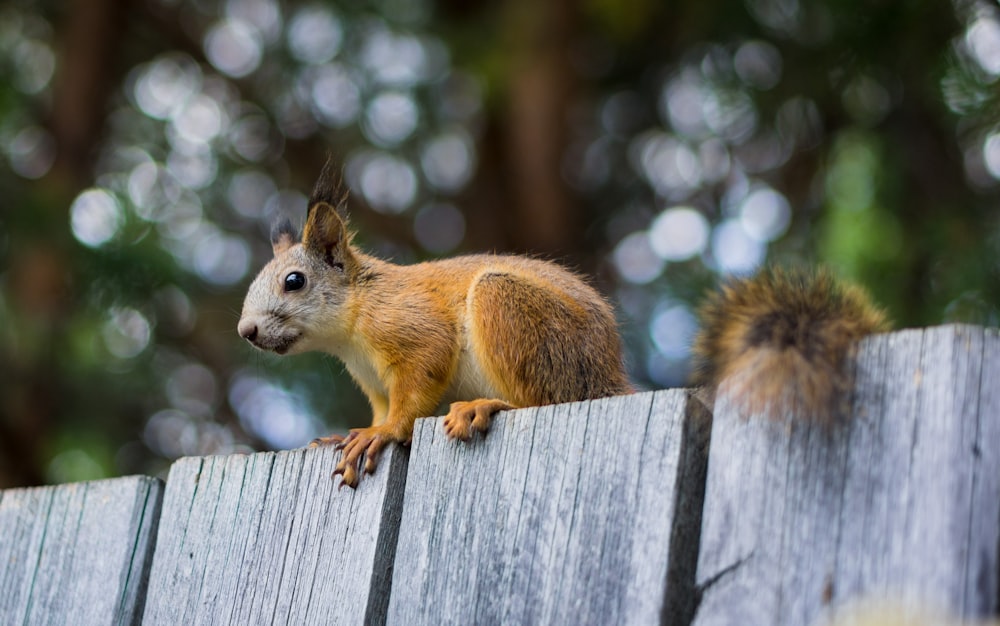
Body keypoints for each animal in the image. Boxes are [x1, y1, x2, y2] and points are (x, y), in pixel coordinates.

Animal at [238, 157, 632, 488]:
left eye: (294, 281)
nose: (246, 331)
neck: (349, 330)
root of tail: (608, 377)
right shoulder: (375, 383)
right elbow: (382, 409)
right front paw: (350, 433)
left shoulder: (414, 330)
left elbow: (417, 386)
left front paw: (383, 433)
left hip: (515, 313)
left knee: (542, 401)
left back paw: (483, 406)